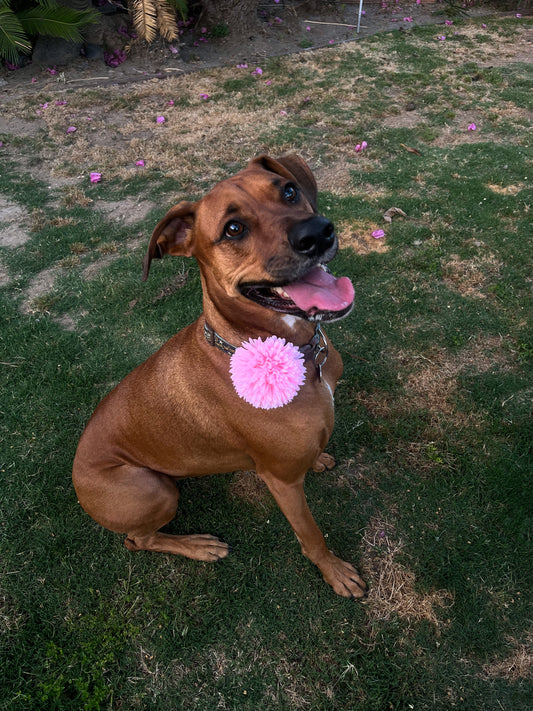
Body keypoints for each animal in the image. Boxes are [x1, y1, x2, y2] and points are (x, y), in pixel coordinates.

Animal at [72, 157, 368, 600]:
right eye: (233, 229)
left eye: (288, 191)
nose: (318, 232)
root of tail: (75, 474)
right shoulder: (281, 481)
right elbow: (311, 535)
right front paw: (334, 571)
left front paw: (318, 458)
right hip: (154, 491)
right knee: (136, 540)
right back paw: (197, 545)